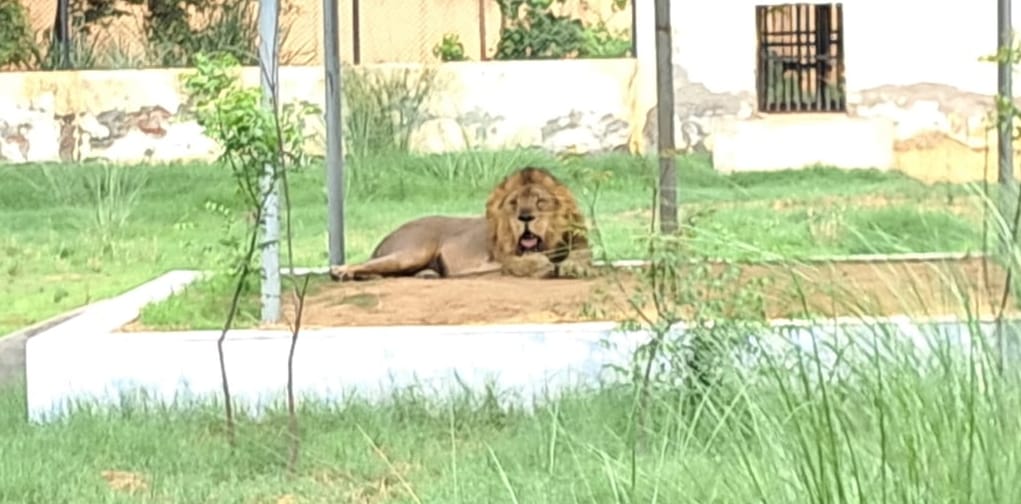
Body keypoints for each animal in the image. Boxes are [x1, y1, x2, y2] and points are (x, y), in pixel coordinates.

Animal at [328, 167, 593, 281]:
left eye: (540, 202)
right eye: (514, 203)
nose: (525, 218)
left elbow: (580, 257)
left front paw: (574, 267)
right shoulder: (503, 256)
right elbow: (526, 262)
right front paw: (543, 265)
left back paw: (427, 274)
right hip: (413, 251)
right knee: (369, 264)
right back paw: (341, 271)